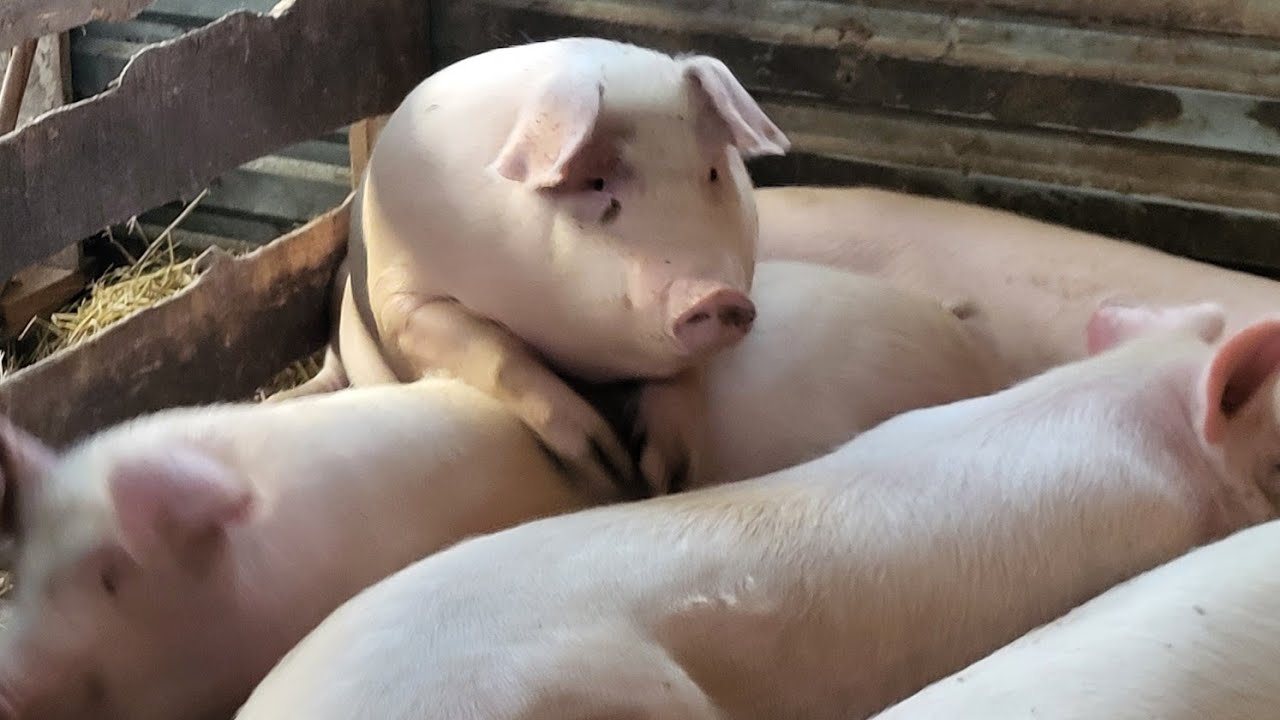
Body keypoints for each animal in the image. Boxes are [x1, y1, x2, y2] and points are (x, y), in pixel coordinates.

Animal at [277, 37, 791, 500]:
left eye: (712, 173)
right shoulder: (405, 302)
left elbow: (678, 378)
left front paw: (668, 477)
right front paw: (607, 466)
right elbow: (498, 352)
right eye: (597, 183)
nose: (715, 295)